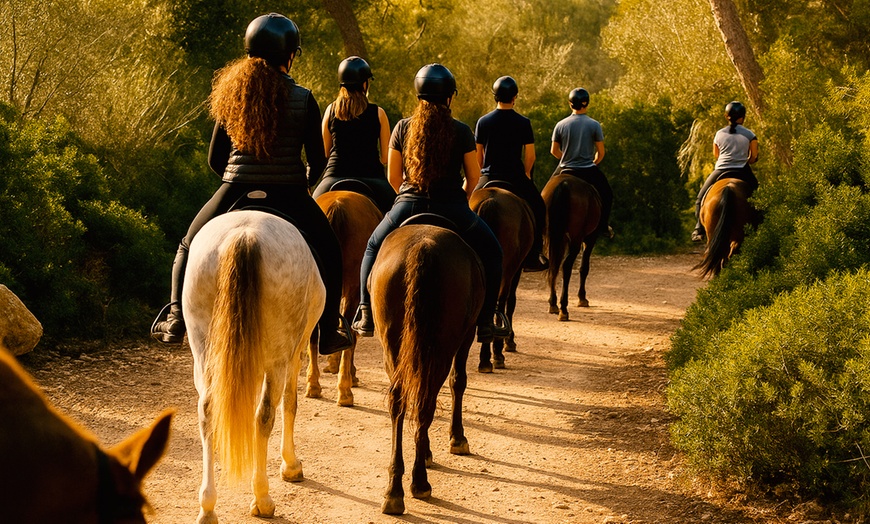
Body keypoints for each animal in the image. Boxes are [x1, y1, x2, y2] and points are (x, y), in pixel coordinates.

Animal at [183, 210, 326, 524]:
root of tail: (244, 235)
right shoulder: (294, 353)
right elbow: (290, 403)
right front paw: (291, 465)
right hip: (279, 358)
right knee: (265, 415)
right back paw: (262, 498)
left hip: (203, 351)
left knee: (207, 412)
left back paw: (207, 507)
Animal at [370, 223, 484, 515]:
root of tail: (423, 248)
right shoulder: (467, 335)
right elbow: (458, 382)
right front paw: (457, 438)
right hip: (442, 348)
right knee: (426, 403)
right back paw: (419, 481)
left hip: (393, 346)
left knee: (400, 402)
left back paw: (394, 490)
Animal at [469, 185, 534, 372]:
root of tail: (491, 201)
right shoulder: (517, 269)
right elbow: (510, 302)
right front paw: (509, 342)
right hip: (507, 269)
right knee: (500, 302)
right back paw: (495, 355)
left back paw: (485, 358)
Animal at [541, 173, 602, 321]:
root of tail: (563, 185)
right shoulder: (590, 239)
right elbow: (584, 268)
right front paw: (582, 298)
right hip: (576, 238)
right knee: (566, 266)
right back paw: (563, 309)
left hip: (553, 237)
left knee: (554, 266)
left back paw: (553, 304)